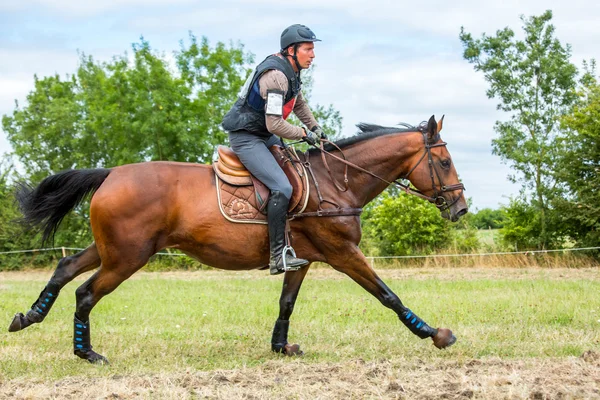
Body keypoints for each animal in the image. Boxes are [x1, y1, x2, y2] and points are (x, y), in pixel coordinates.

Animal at [10, 115, 468, 362]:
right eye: (445, 161)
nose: (461, 209)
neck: (335, 183)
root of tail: (111, 174)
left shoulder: (304, 258)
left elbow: (286, 302)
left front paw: (281, 347)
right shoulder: (342, 253)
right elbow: (388, 295)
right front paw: (435, 334)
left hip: (112, 249)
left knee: (65, 266)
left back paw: (28, 316)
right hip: (127, 257)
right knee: (85, 292)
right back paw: (86, 352)